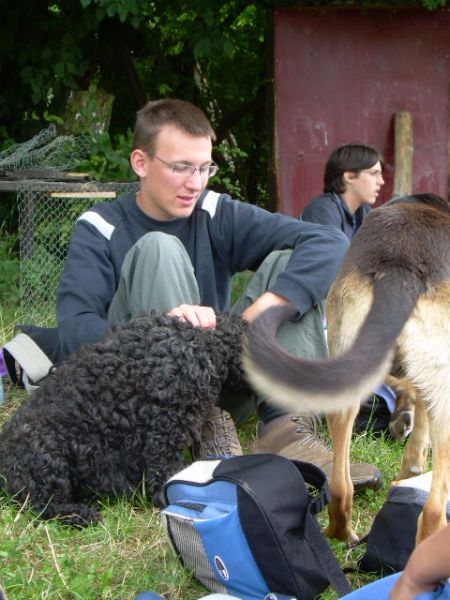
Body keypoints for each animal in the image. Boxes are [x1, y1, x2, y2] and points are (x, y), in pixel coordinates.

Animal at [0, 312, 246, 528]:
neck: (205, 343)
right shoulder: (164, 431)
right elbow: (165, 475)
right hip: (47, 457)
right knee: (43, 506)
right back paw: (81, 515)